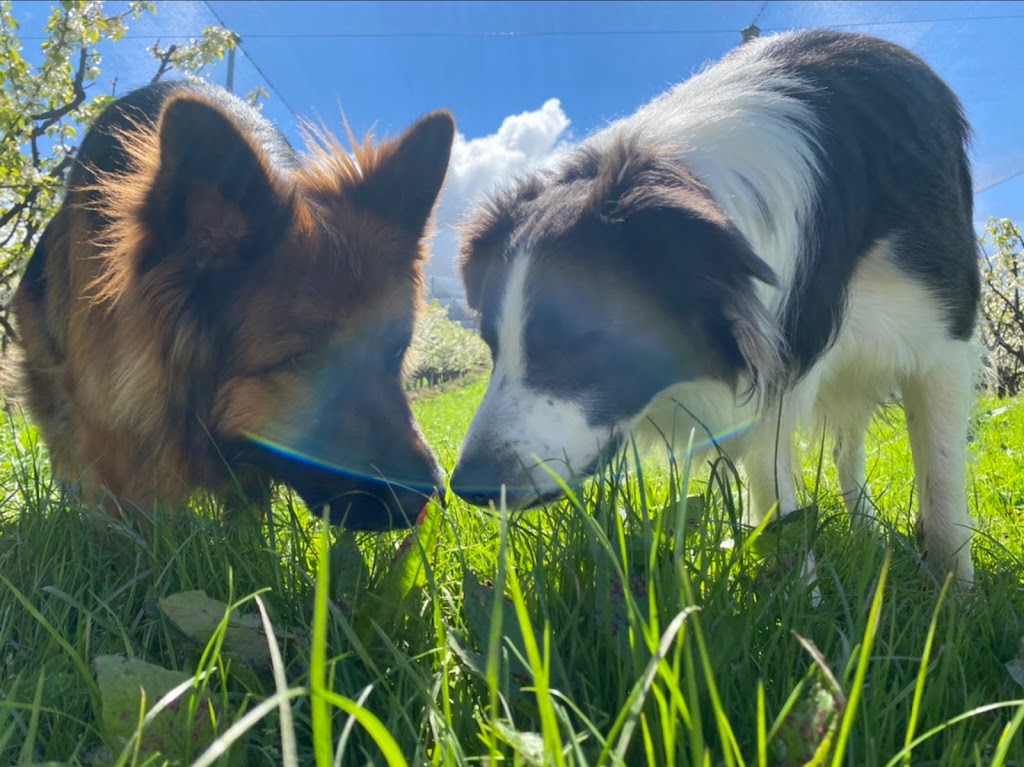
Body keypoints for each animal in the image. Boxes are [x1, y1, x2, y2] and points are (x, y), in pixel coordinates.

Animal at [452, 28, 978, 581]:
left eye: (579, 337)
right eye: (491, 344)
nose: (468, 486)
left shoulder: (943, 340)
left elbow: (942, 481)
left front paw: (955, 591)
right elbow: (778, 507)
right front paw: (797, 591)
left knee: (849, 444)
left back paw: (866, 530)